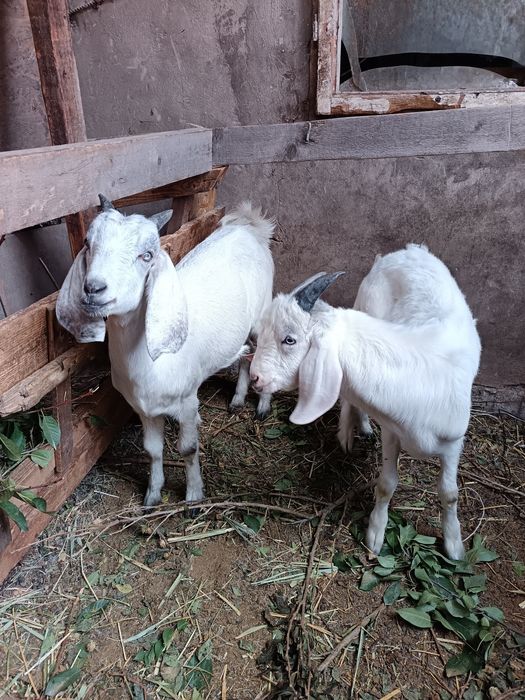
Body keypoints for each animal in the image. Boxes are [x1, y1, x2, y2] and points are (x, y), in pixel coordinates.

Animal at [57, 197, 274, 506]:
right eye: (88, 243)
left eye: (147, 255)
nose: (93, 288)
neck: (150, 365)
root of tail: (249, 225)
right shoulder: (143, 408)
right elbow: (152, 449)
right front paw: (152, 494)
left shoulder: (186, 402)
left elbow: (188, 448)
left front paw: (193, 496)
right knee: (246, 356)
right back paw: (237, 399)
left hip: (262, 315)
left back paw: (263, 406)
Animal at [250, 245, 481, 560]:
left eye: (289, 339)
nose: (255, 377)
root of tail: (406, 251)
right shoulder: (392, 432)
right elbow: (386, 485)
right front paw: (375, 535)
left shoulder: (455, 441)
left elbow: (450, 494)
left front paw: (455, 546)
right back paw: (351, 431)